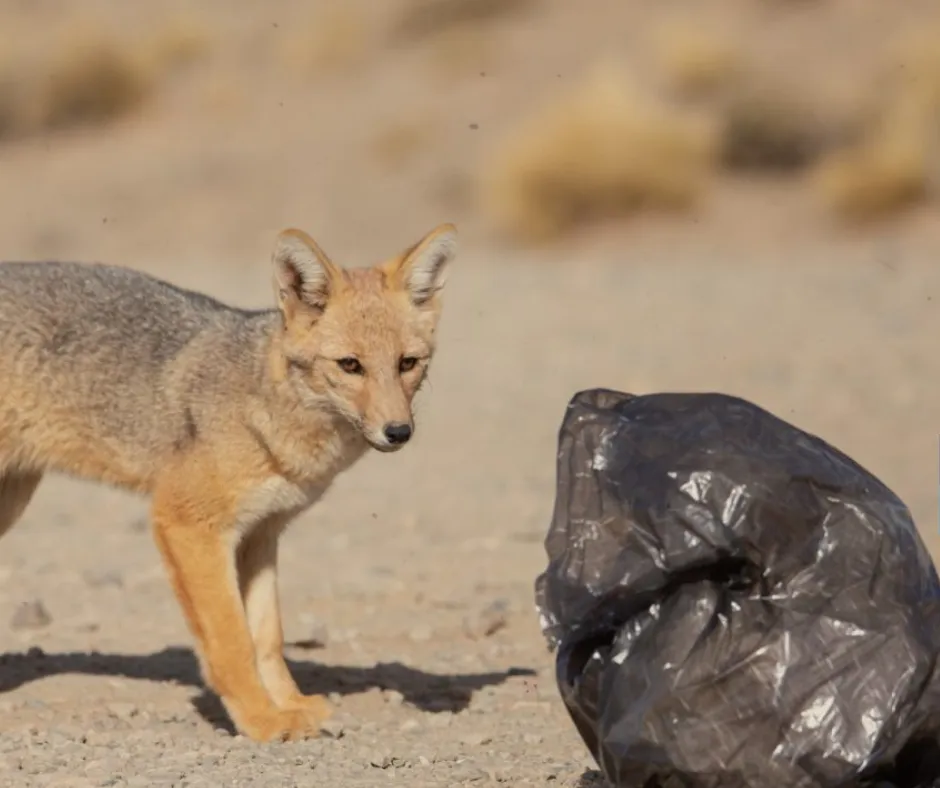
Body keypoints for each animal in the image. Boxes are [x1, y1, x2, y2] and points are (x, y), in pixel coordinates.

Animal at [0, 222, 459, 742]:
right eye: (350, 365)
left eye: (408, 363)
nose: (398, 432)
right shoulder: (188, 524)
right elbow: (231, 638)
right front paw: (261, 719)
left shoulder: (262, 532)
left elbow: (267, 636)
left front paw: (289, 704)